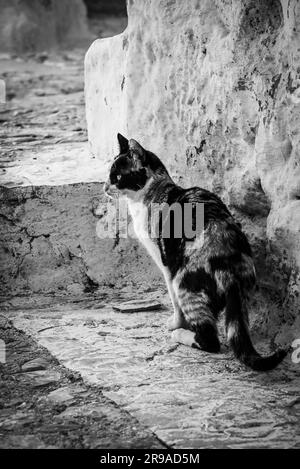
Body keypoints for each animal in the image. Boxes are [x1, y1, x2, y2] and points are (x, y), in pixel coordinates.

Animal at [104, 133, 288, 372]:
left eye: (116, 176)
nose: (104, 187)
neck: (155, 191)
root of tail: (227, 264)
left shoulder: (165, 262)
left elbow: (173, 301)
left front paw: (175, 323)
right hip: (242, 298)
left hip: (184, 283)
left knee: (210, 340)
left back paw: (180, 334)